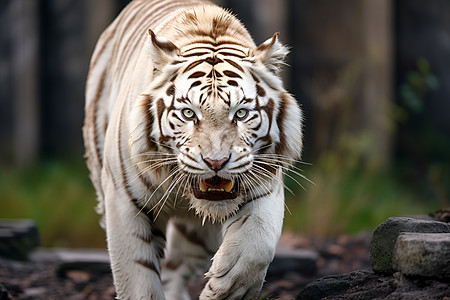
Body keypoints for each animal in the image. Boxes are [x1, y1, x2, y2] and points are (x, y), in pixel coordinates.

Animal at [82, 0, 304, 298]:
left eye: (241, 113)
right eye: (189, 113)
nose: (216, 162)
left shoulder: (265, 182)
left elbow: (259, 240)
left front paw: (229, 287)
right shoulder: (123, 199)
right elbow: (138, 276)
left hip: (198, 233)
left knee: (174, 269)